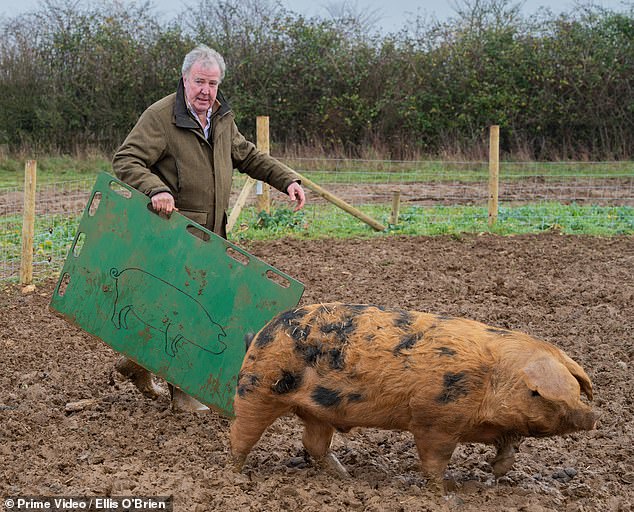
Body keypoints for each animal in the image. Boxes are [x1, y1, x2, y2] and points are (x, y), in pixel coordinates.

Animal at [230, 304, 596, 488]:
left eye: (576, 388)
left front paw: (494, 474)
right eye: (538, 392)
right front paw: (444, 491)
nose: (593, 416)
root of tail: (261, 332)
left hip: (319, 411)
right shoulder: (434, 419)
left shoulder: (501, 426)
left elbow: (510, 447)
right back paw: (235, 474)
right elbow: (435, 459)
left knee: (313, 443)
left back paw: (346, 477)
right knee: (240, 433)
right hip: (257, 388)